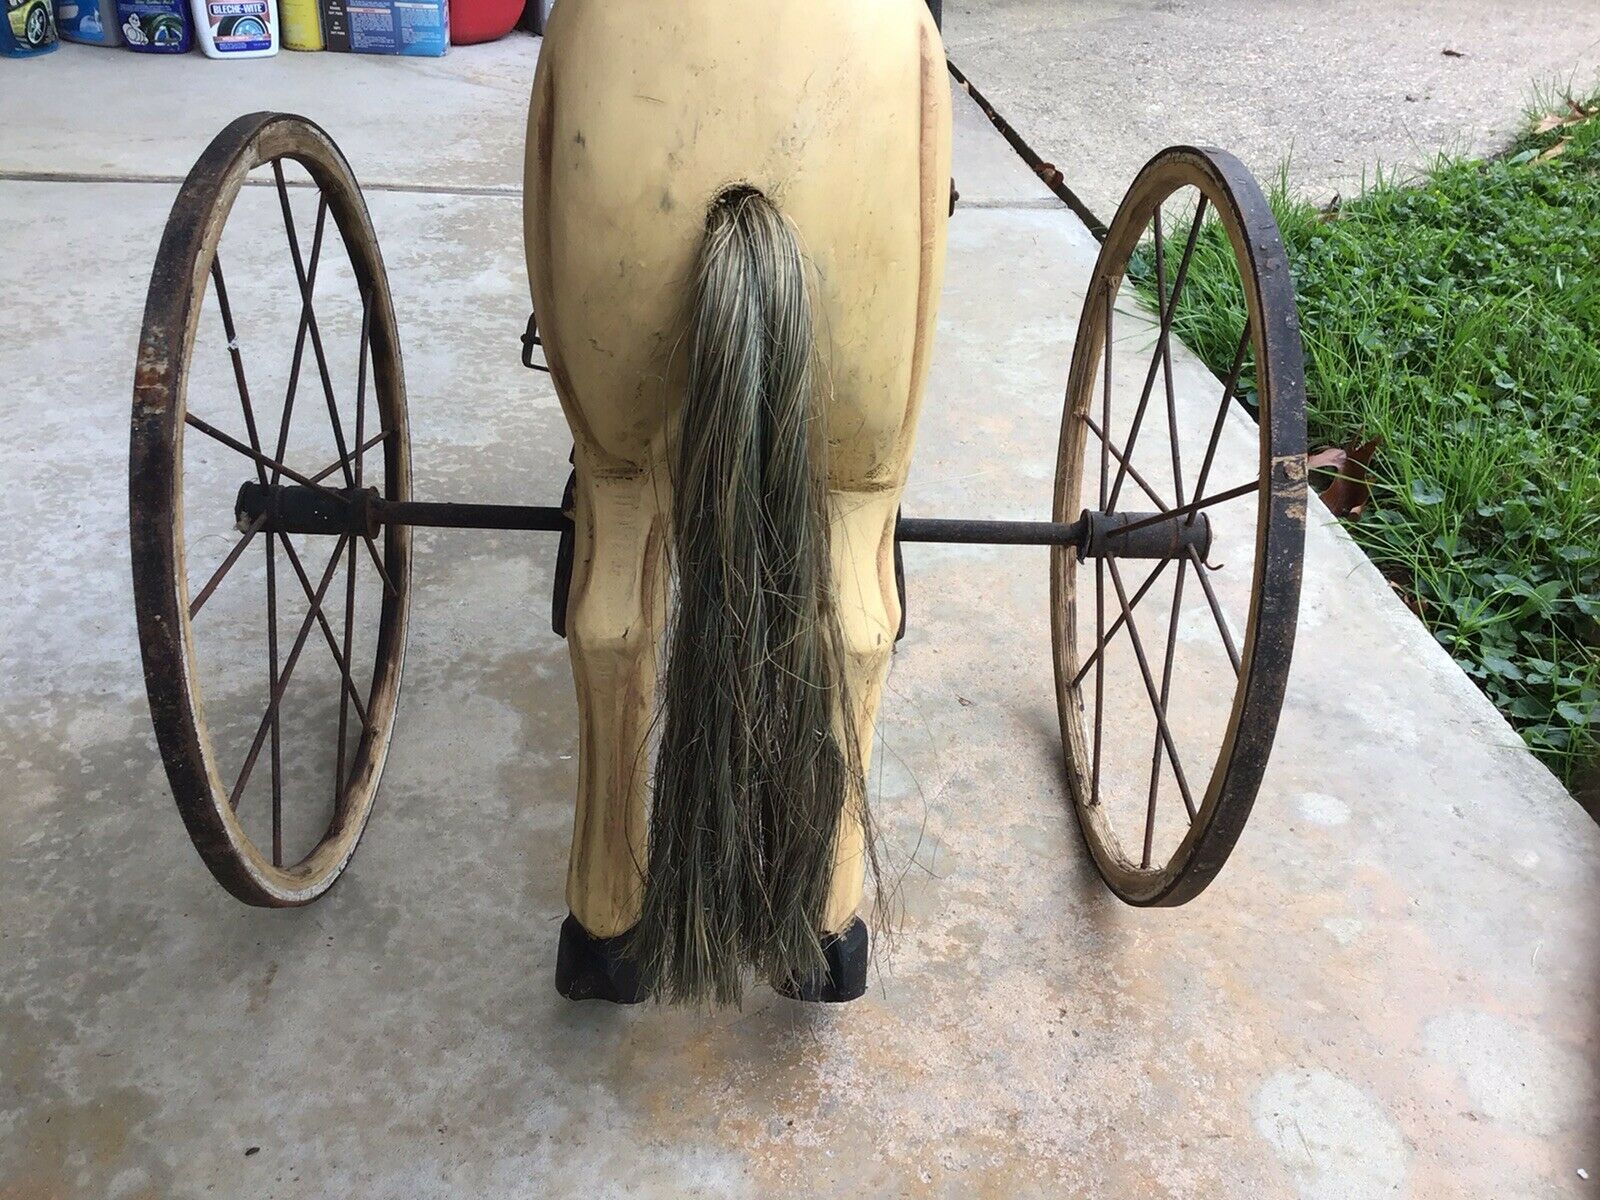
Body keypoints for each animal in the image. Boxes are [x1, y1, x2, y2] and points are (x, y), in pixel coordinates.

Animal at [524, 0, 951, 1005]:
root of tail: (745, 193)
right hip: (865, 460)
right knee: (862, 632)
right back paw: (828, 943)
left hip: (617, 452)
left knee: (610, 628)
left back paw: (604, 942)